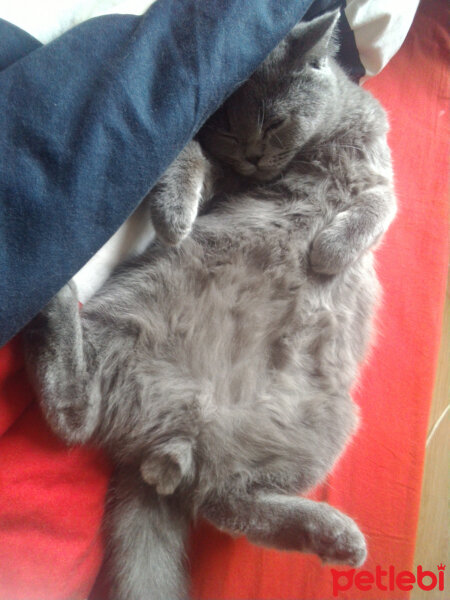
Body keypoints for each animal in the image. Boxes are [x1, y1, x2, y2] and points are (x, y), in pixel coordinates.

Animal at [22, 11, 396, 600]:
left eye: (274, 123)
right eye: (226, 130)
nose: (252, 154)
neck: (314, 150)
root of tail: (178, 435)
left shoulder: (381, 172)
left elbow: (377, 207)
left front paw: (329, 251)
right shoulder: (224, 174)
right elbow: (191, 158)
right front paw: (175, 215)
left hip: (330, 422)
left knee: (224, 501)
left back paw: (333, 536)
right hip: (129, 316)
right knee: (75, 416)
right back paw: (58, 296)